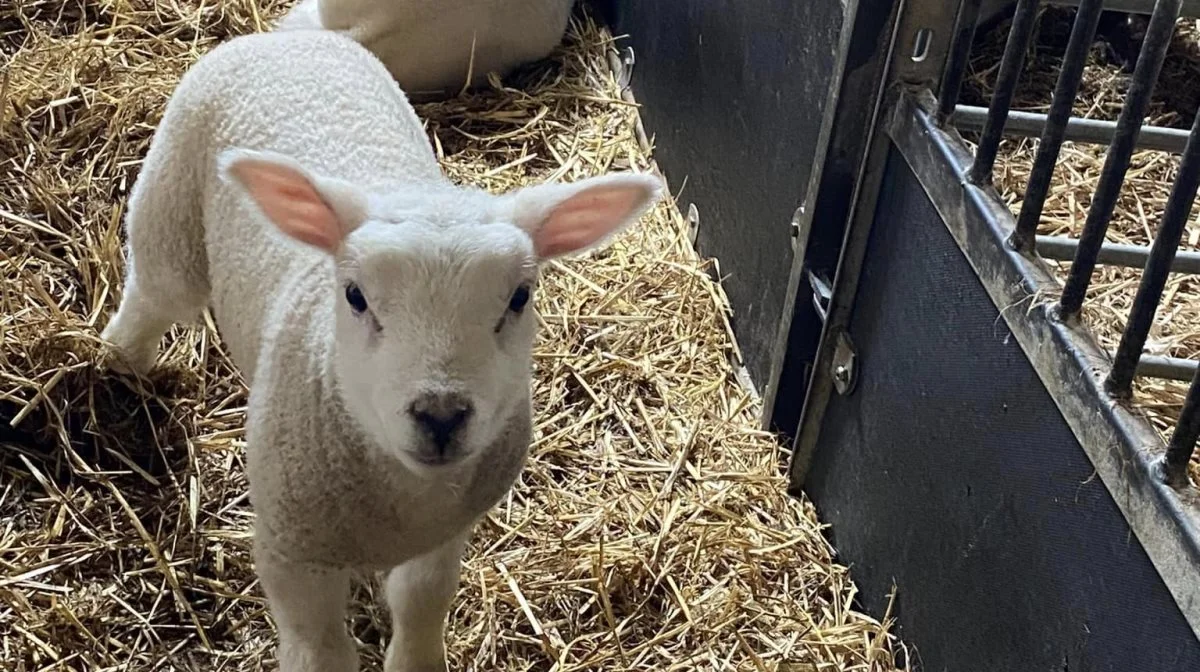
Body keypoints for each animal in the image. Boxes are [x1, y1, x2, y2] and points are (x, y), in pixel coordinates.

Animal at [102, 27, 662, 672]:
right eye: (355, 296)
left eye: (519, 297)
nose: (440, 415)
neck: (404, 497)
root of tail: (291, 35)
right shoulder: (291, 553)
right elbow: (320, 650)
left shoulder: (445, 536)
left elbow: (422, 603)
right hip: (170, 210)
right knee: (151, 295)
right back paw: (117, 362)